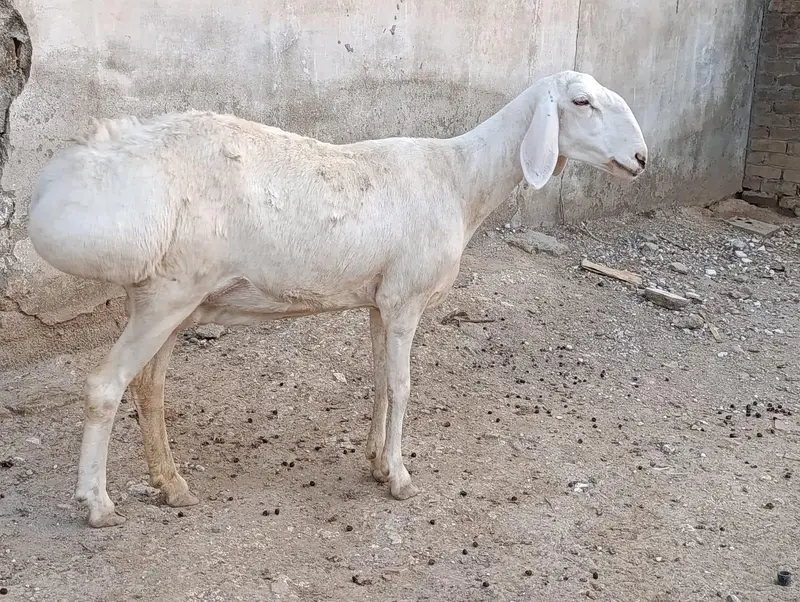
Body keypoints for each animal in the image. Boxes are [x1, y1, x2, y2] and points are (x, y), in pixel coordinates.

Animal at [28, 70, 647, 528]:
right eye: (582, 101)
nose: (642, 160)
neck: (460, 179)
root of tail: (82, 171)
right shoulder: (406, 296)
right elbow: (401, 386)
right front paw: (400, 478)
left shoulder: (380, 300)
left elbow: (378, 381)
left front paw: (375, 463)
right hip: (168, 294)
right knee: (105, 385)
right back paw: (98, 505)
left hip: (166, 298)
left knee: (148, 391)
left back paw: (172, 485)